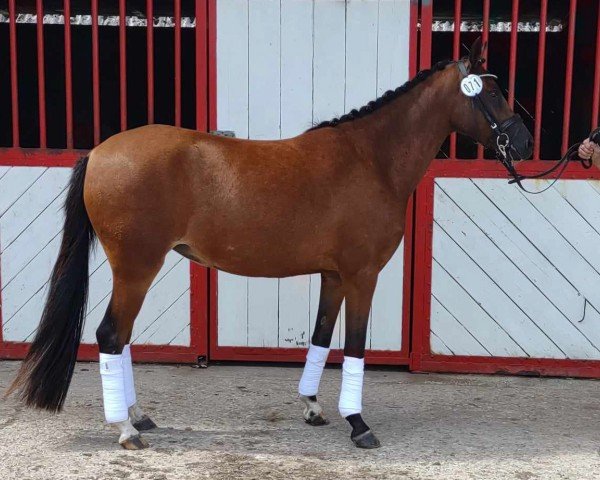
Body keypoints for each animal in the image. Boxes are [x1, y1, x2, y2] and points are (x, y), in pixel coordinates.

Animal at [7, 38, 532, 450]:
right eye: (490, 91)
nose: (525, 144)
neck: (371, 160)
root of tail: (100, 151)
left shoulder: (333, 275)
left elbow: (321, 337)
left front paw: (314, 407)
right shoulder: (362, 275)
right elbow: (355, 346)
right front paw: (359, 424)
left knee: (123, 336)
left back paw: (139, 417)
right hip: (136, 267)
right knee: (111, 336)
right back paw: (125, 430)